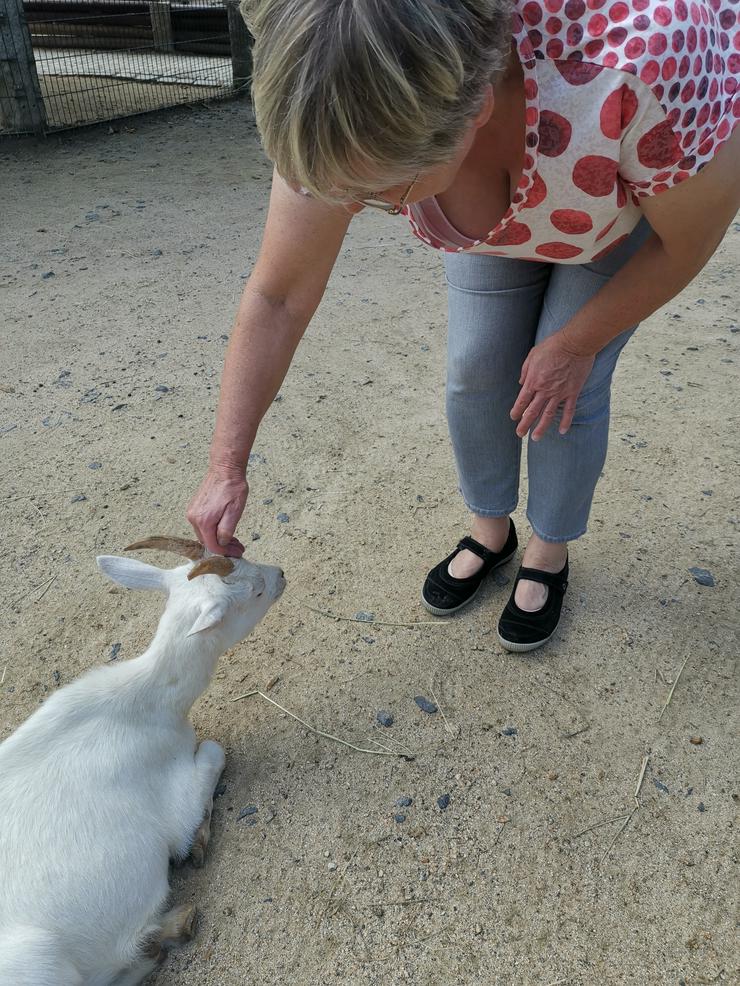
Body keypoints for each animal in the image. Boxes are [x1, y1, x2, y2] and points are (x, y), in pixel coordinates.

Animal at [0, 540, 286, 984]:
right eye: (255, 591)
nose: (281, 575)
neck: (146, 700)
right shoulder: (172, 799)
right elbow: (213, 752)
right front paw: (197, 844)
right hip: (38, 963)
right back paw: (165, 933)